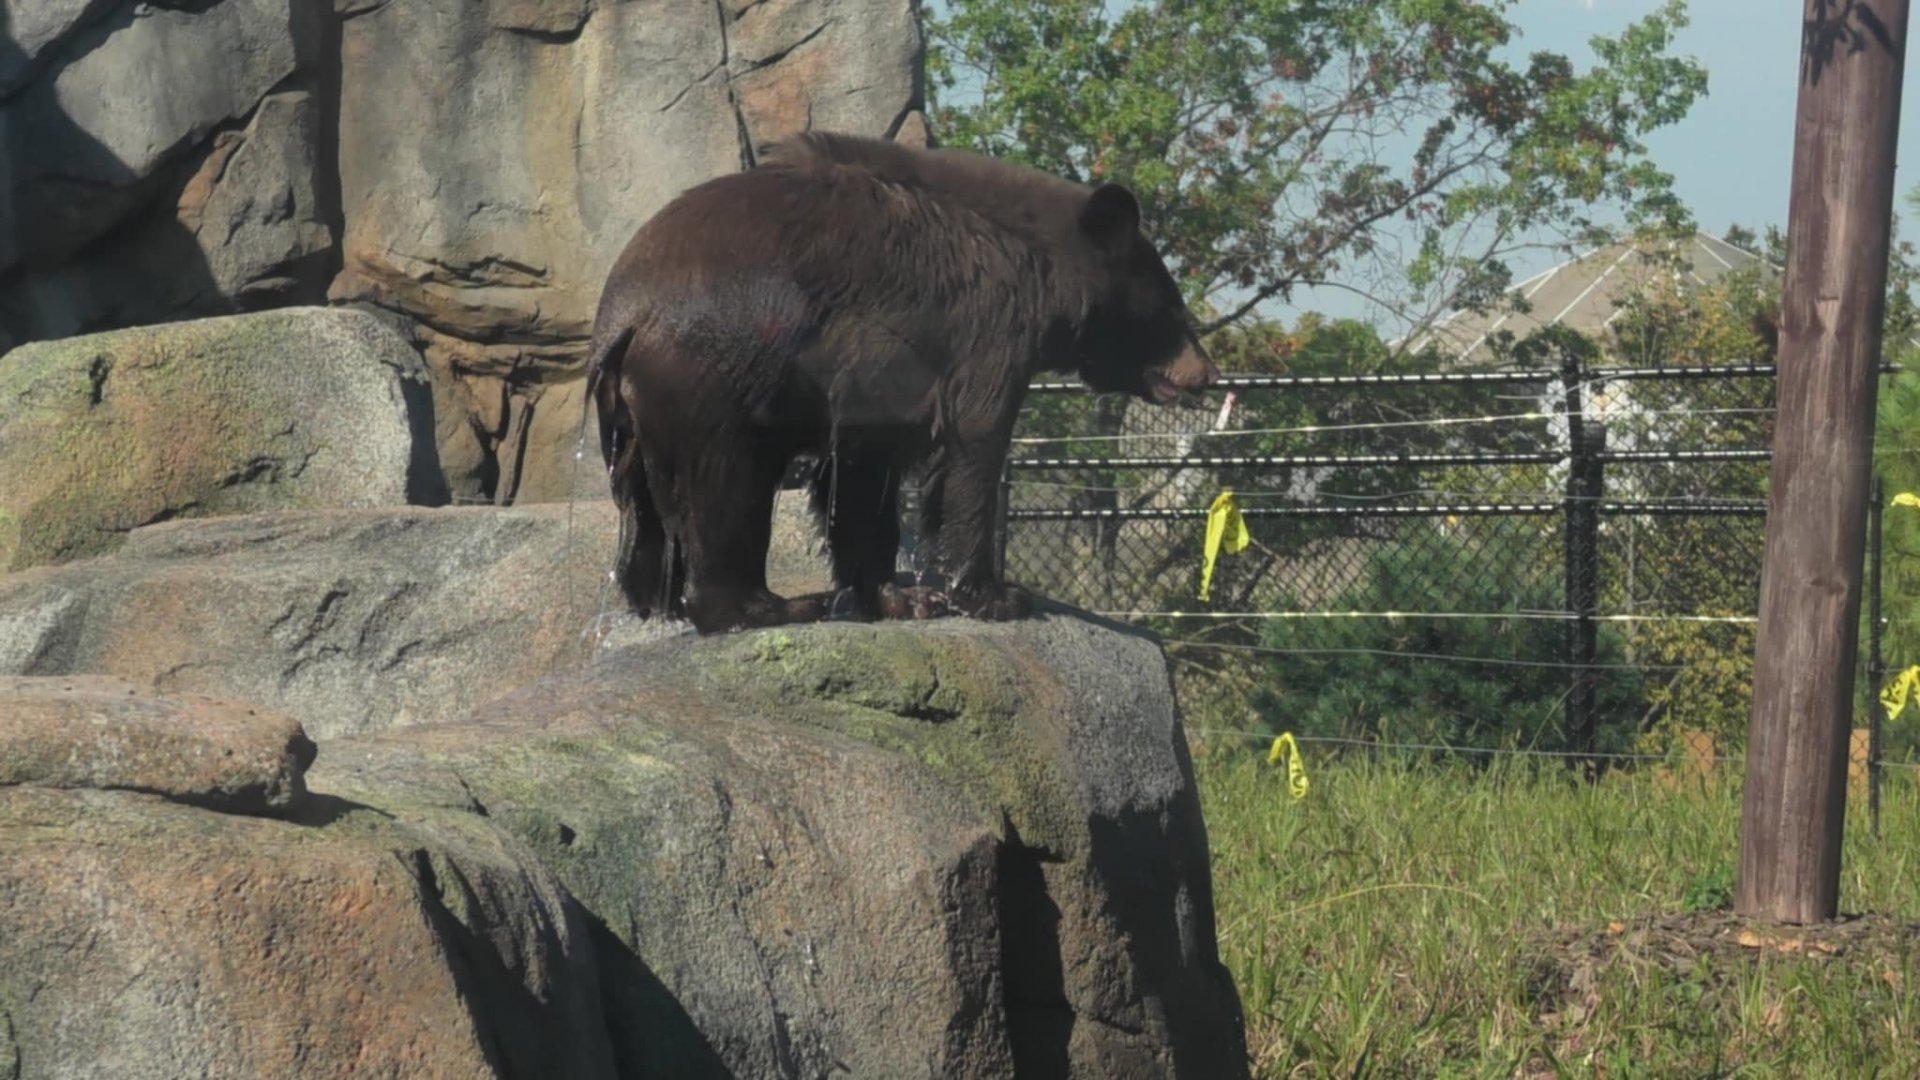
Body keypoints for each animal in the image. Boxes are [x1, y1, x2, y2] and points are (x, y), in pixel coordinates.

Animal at [585, 131, 1218, 635]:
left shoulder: (877, 380)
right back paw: (767, 606)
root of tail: (623, 318)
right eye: (1172, 308)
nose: (1206, 373)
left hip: (635, 418)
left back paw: (655, 599)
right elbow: (973, 445)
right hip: (713, 372)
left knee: (646, 512)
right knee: (724, 484)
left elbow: (863, 476)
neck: (1045, 267)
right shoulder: (984, 328)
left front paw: (899, 595)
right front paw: (995, 595)